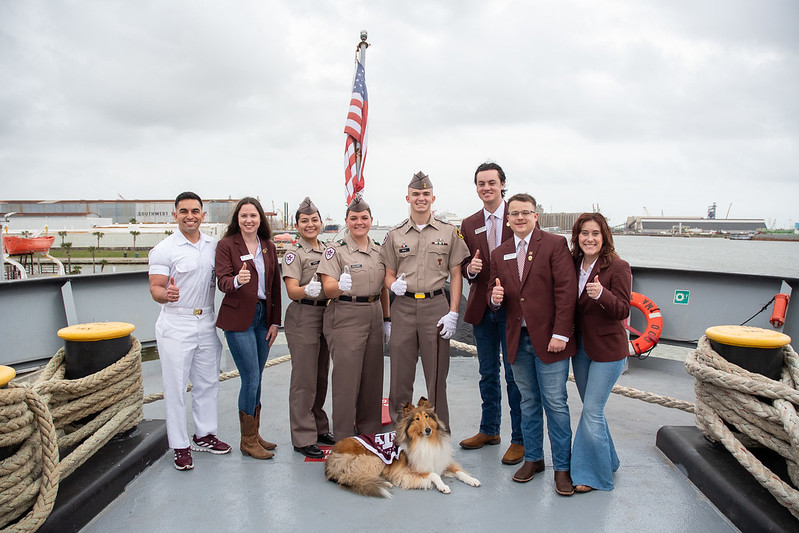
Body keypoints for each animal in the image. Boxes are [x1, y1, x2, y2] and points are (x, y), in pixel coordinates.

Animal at [324, 396, 482, 496]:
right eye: (417, 419)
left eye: (426, 416)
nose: (428, 430)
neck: (424, 441)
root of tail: (331, 456)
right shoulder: (407, 470)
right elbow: (434, 475)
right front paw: (443, 486)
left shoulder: (440, 460)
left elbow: (459, 471)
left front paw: (473, 480)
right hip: (373, 460)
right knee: (353, 477)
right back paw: (384, 483)